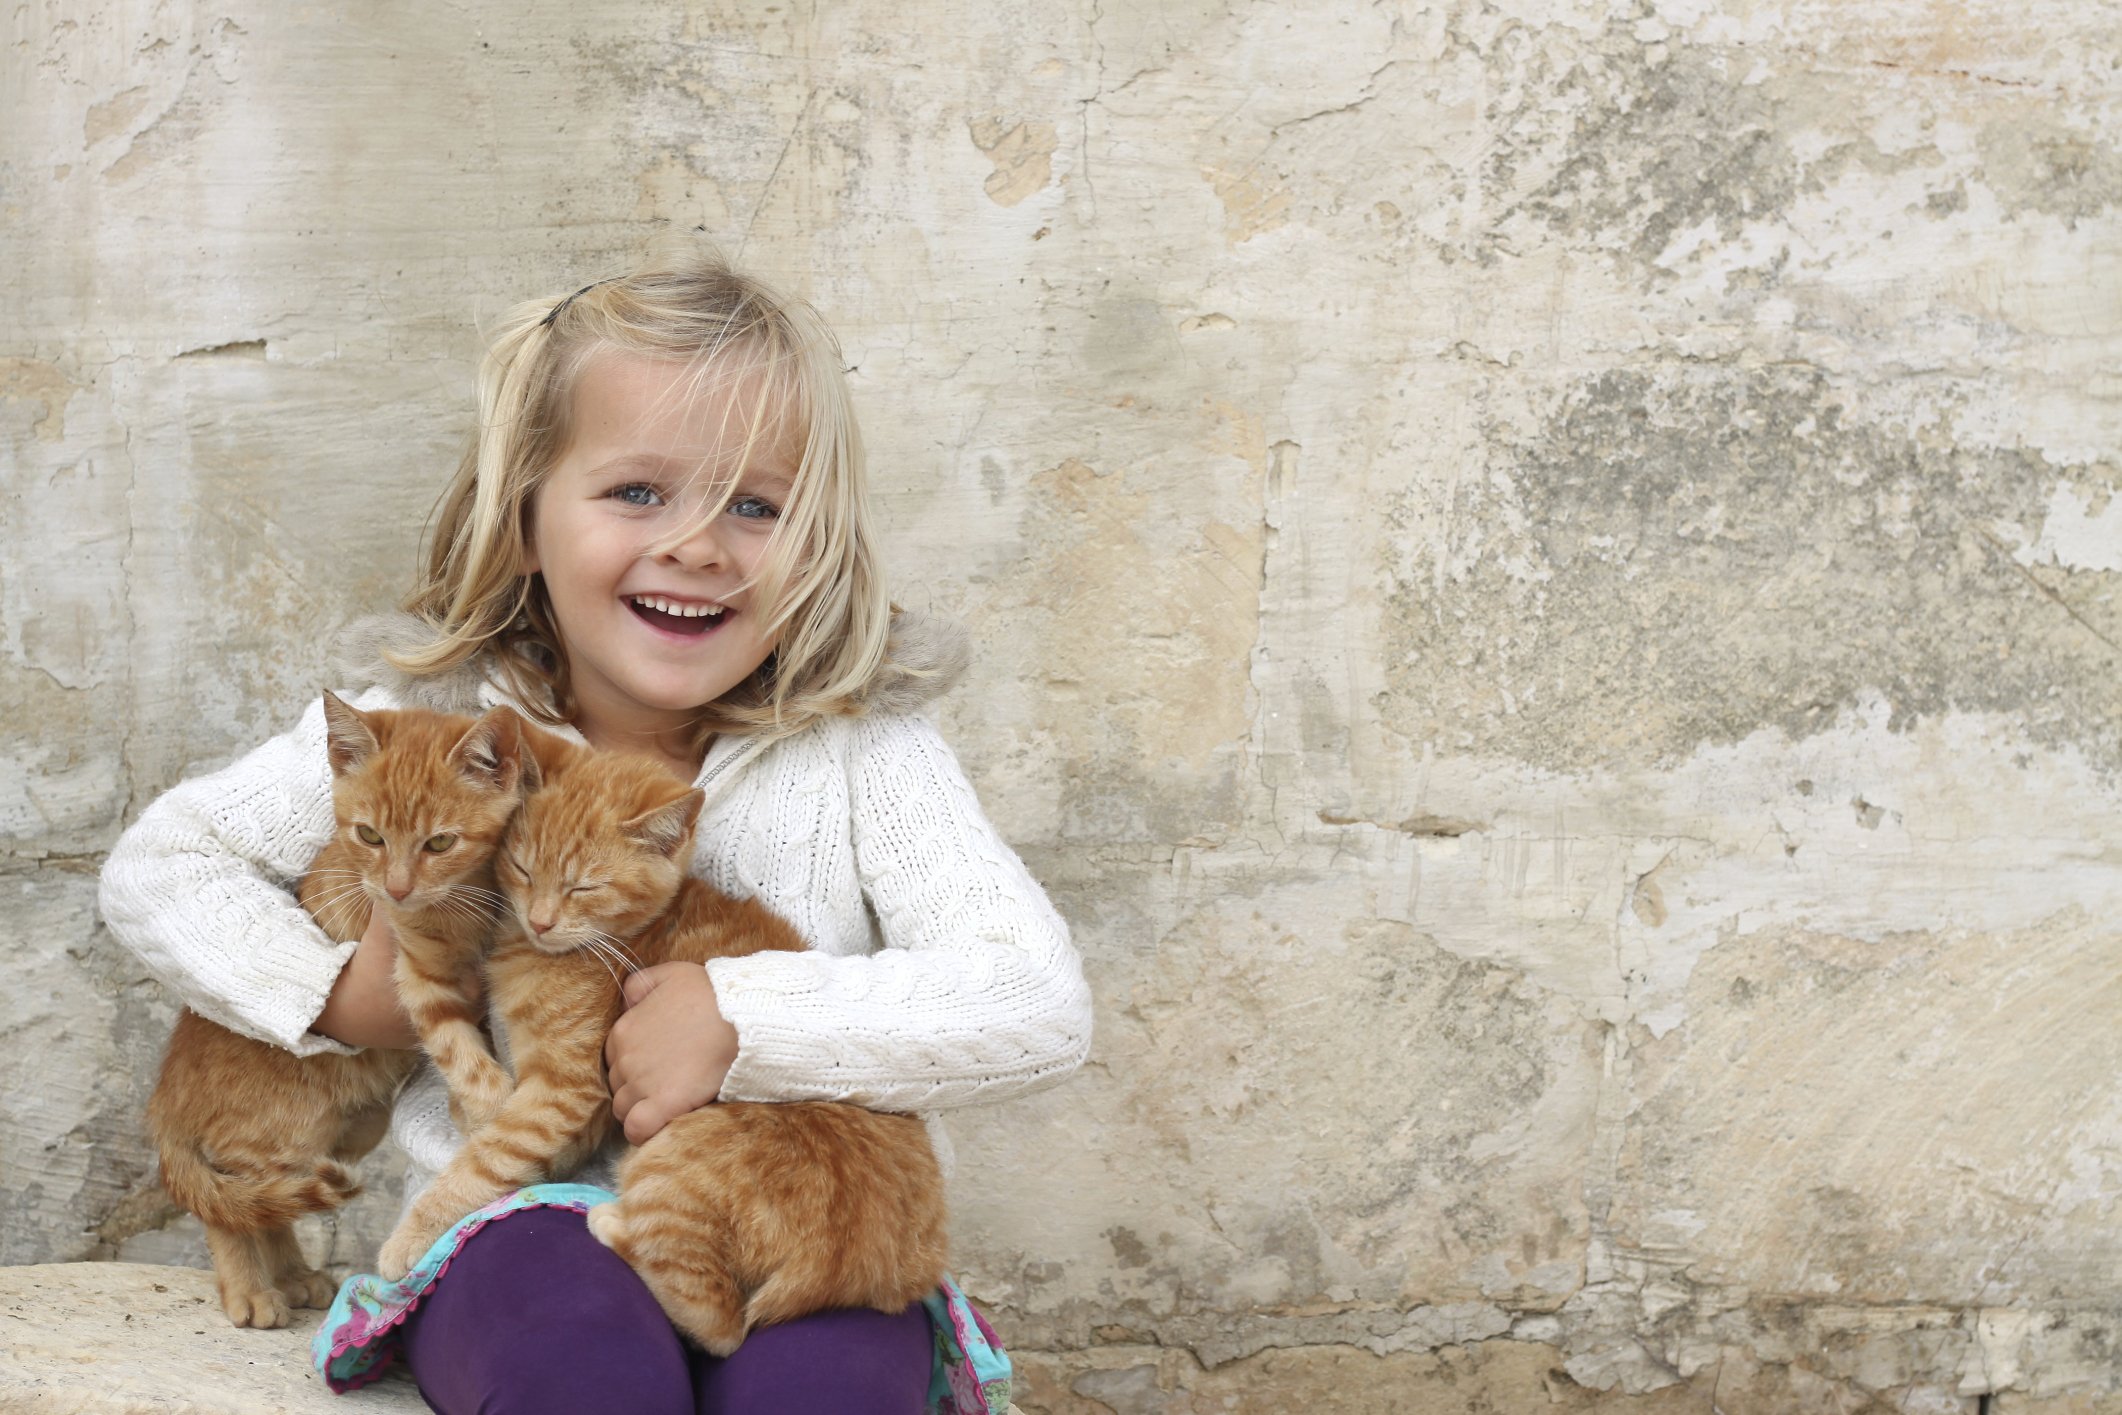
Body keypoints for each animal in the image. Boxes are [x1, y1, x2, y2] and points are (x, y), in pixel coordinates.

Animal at [150, 695, 530, 1332]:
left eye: (439, 844)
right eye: (369, 836)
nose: (397, 890)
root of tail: (165, 1098)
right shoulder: (419, 975)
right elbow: (467, 1058)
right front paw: (491, 1115)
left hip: (349, 1131)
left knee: (269, 1201)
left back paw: (294, 1276)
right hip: (280, 1132)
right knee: (231, 1200)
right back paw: (250, 1290)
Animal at [377, 738, 950, 1357]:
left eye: (584, 887)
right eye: (523, 868)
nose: (540, 920)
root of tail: (847, 1269)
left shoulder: (565, 1087)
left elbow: (490, 1157)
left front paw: (413, 1234)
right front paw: (467, 1112)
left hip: (668, 1161)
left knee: (721, 1323)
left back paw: (609, 1222)